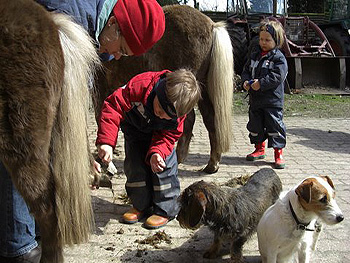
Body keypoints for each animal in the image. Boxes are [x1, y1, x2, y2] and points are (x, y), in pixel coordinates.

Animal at [94, 5, 234, 174]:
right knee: (211, 120)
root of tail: (212, 26)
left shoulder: (99, 86)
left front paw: (107, 162)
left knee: (189, 121)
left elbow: (99, 116)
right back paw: (212, 164)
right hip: (203, 90)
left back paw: (177, 159)